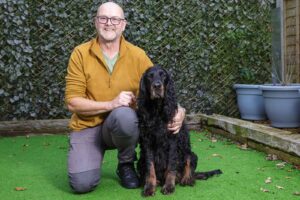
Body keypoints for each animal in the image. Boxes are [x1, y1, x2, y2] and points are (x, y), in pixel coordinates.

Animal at [137, 65, 221, 196]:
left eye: (163, 75)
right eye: (149, 76)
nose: (157, 86)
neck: (157, 110)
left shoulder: (173, 141)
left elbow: (171, 165)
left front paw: (169, 186)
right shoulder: (147, 142)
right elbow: (150, 167)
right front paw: (149, 187)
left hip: (191, 153)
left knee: (189, 165)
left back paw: (186, 179)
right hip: (140, 160)